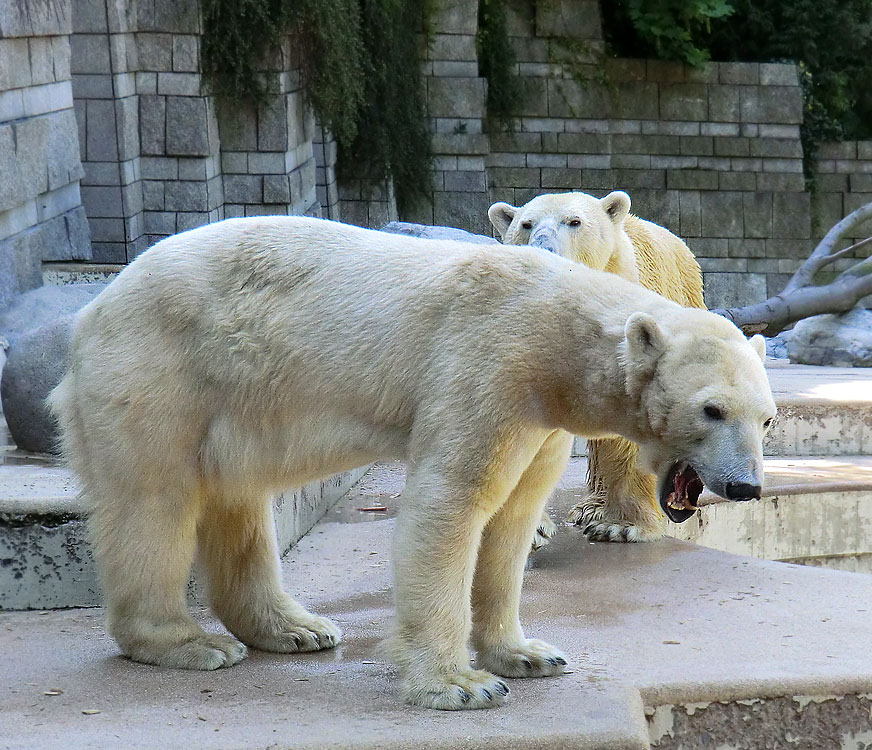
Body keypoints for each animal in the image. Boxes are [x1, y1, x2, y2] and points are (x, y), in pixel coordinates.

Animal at [490, 192, 708, 548]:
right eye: (526, 224)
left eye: (574, 221)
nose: (543, 247)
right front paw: (532, 528)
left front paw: (622, 526)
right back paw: (589, 507)